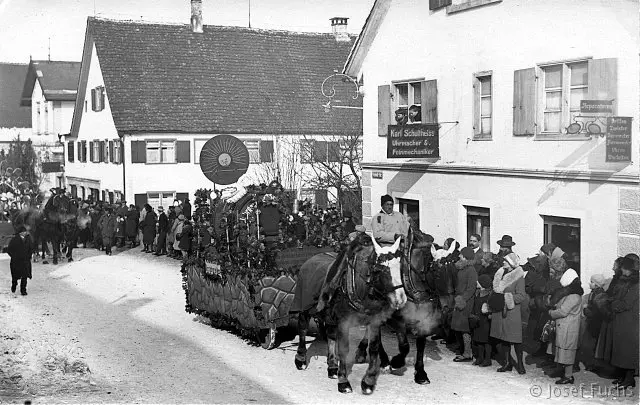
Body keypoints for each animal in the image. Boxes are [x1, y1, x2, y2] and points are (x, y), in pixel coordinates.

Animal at [292, 232, 408, 392]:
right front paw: (343, 381)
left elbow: (374, 347)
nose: (400, 299)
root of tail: (310, 259)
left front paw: (368, 382)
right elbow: (344, 350)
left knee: (331, 335)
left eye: (401, 267)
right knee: (302, 328)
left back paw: (332, 366)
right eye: (380, 270)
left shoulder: (374, 321)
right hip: (304, 307)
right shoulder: (344, 322)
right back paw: (301, 359)